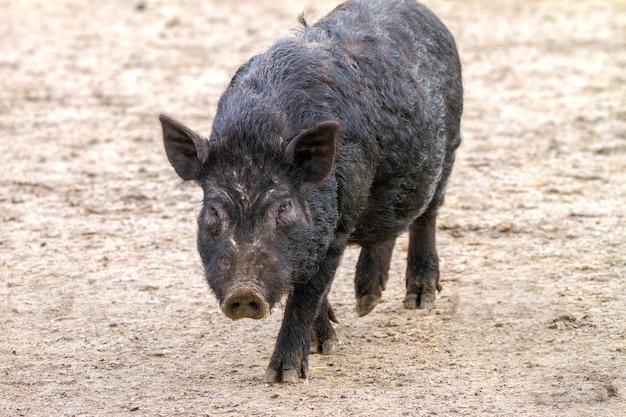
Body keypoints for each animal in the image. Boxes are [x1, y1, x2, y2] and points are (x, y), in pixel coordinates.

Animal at [158, 0, 460, 382]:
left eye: (283, 207)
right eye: (214, 210)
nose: (243, 292)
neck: (257, 131)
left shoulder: (335, 228)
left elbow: (306, 297)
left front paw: (284, 376)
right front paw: (323, 345)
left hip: (448, 149)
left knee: (427, 214)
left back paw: (418, 300)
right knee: (387, 224)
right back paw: (366, 303)